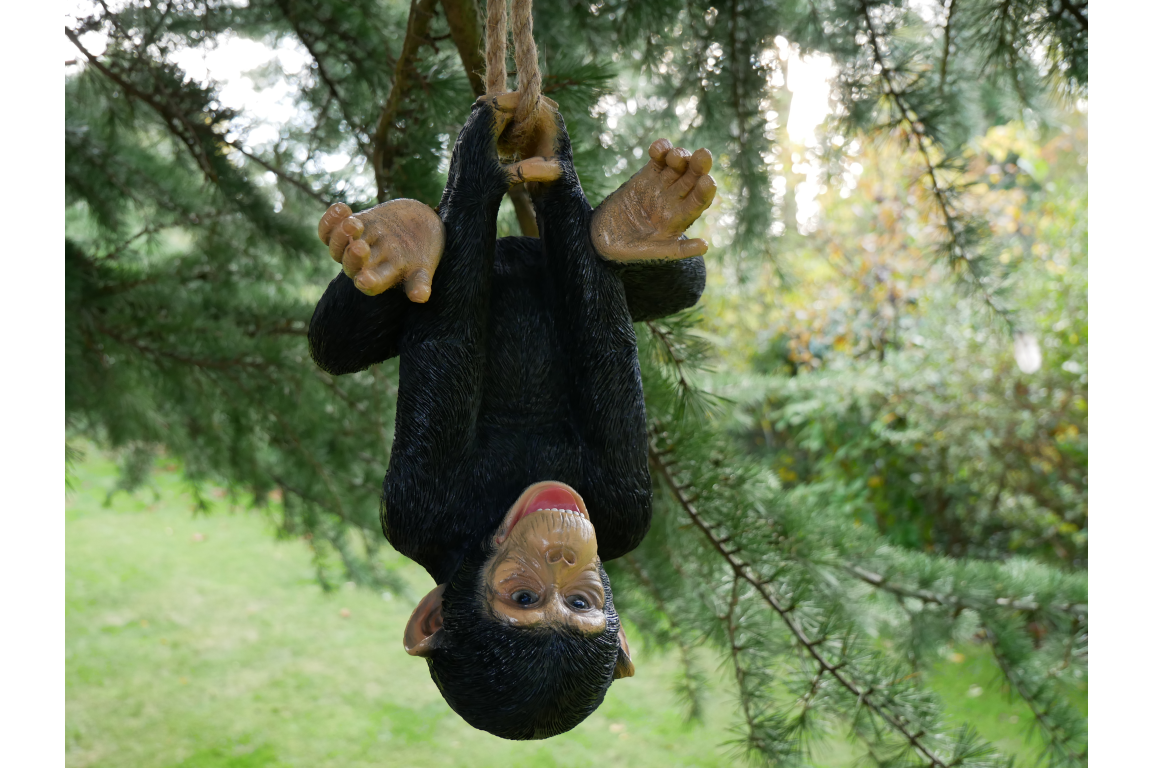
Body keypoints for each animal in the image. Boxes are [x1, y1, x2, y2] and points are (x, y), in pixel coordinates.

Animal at [309, 94, 716, 739]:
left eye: (578, 603)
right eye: (526, 599)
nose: (563, 554)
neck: (511, 498)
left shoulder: (618, 513)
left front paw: (534, 156)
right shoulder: (417, 506)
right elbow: (447, 338)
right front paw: (487, 153)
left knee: (672, 282)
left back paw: (634, 227)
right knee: (336, 340)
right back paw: (397, 244)